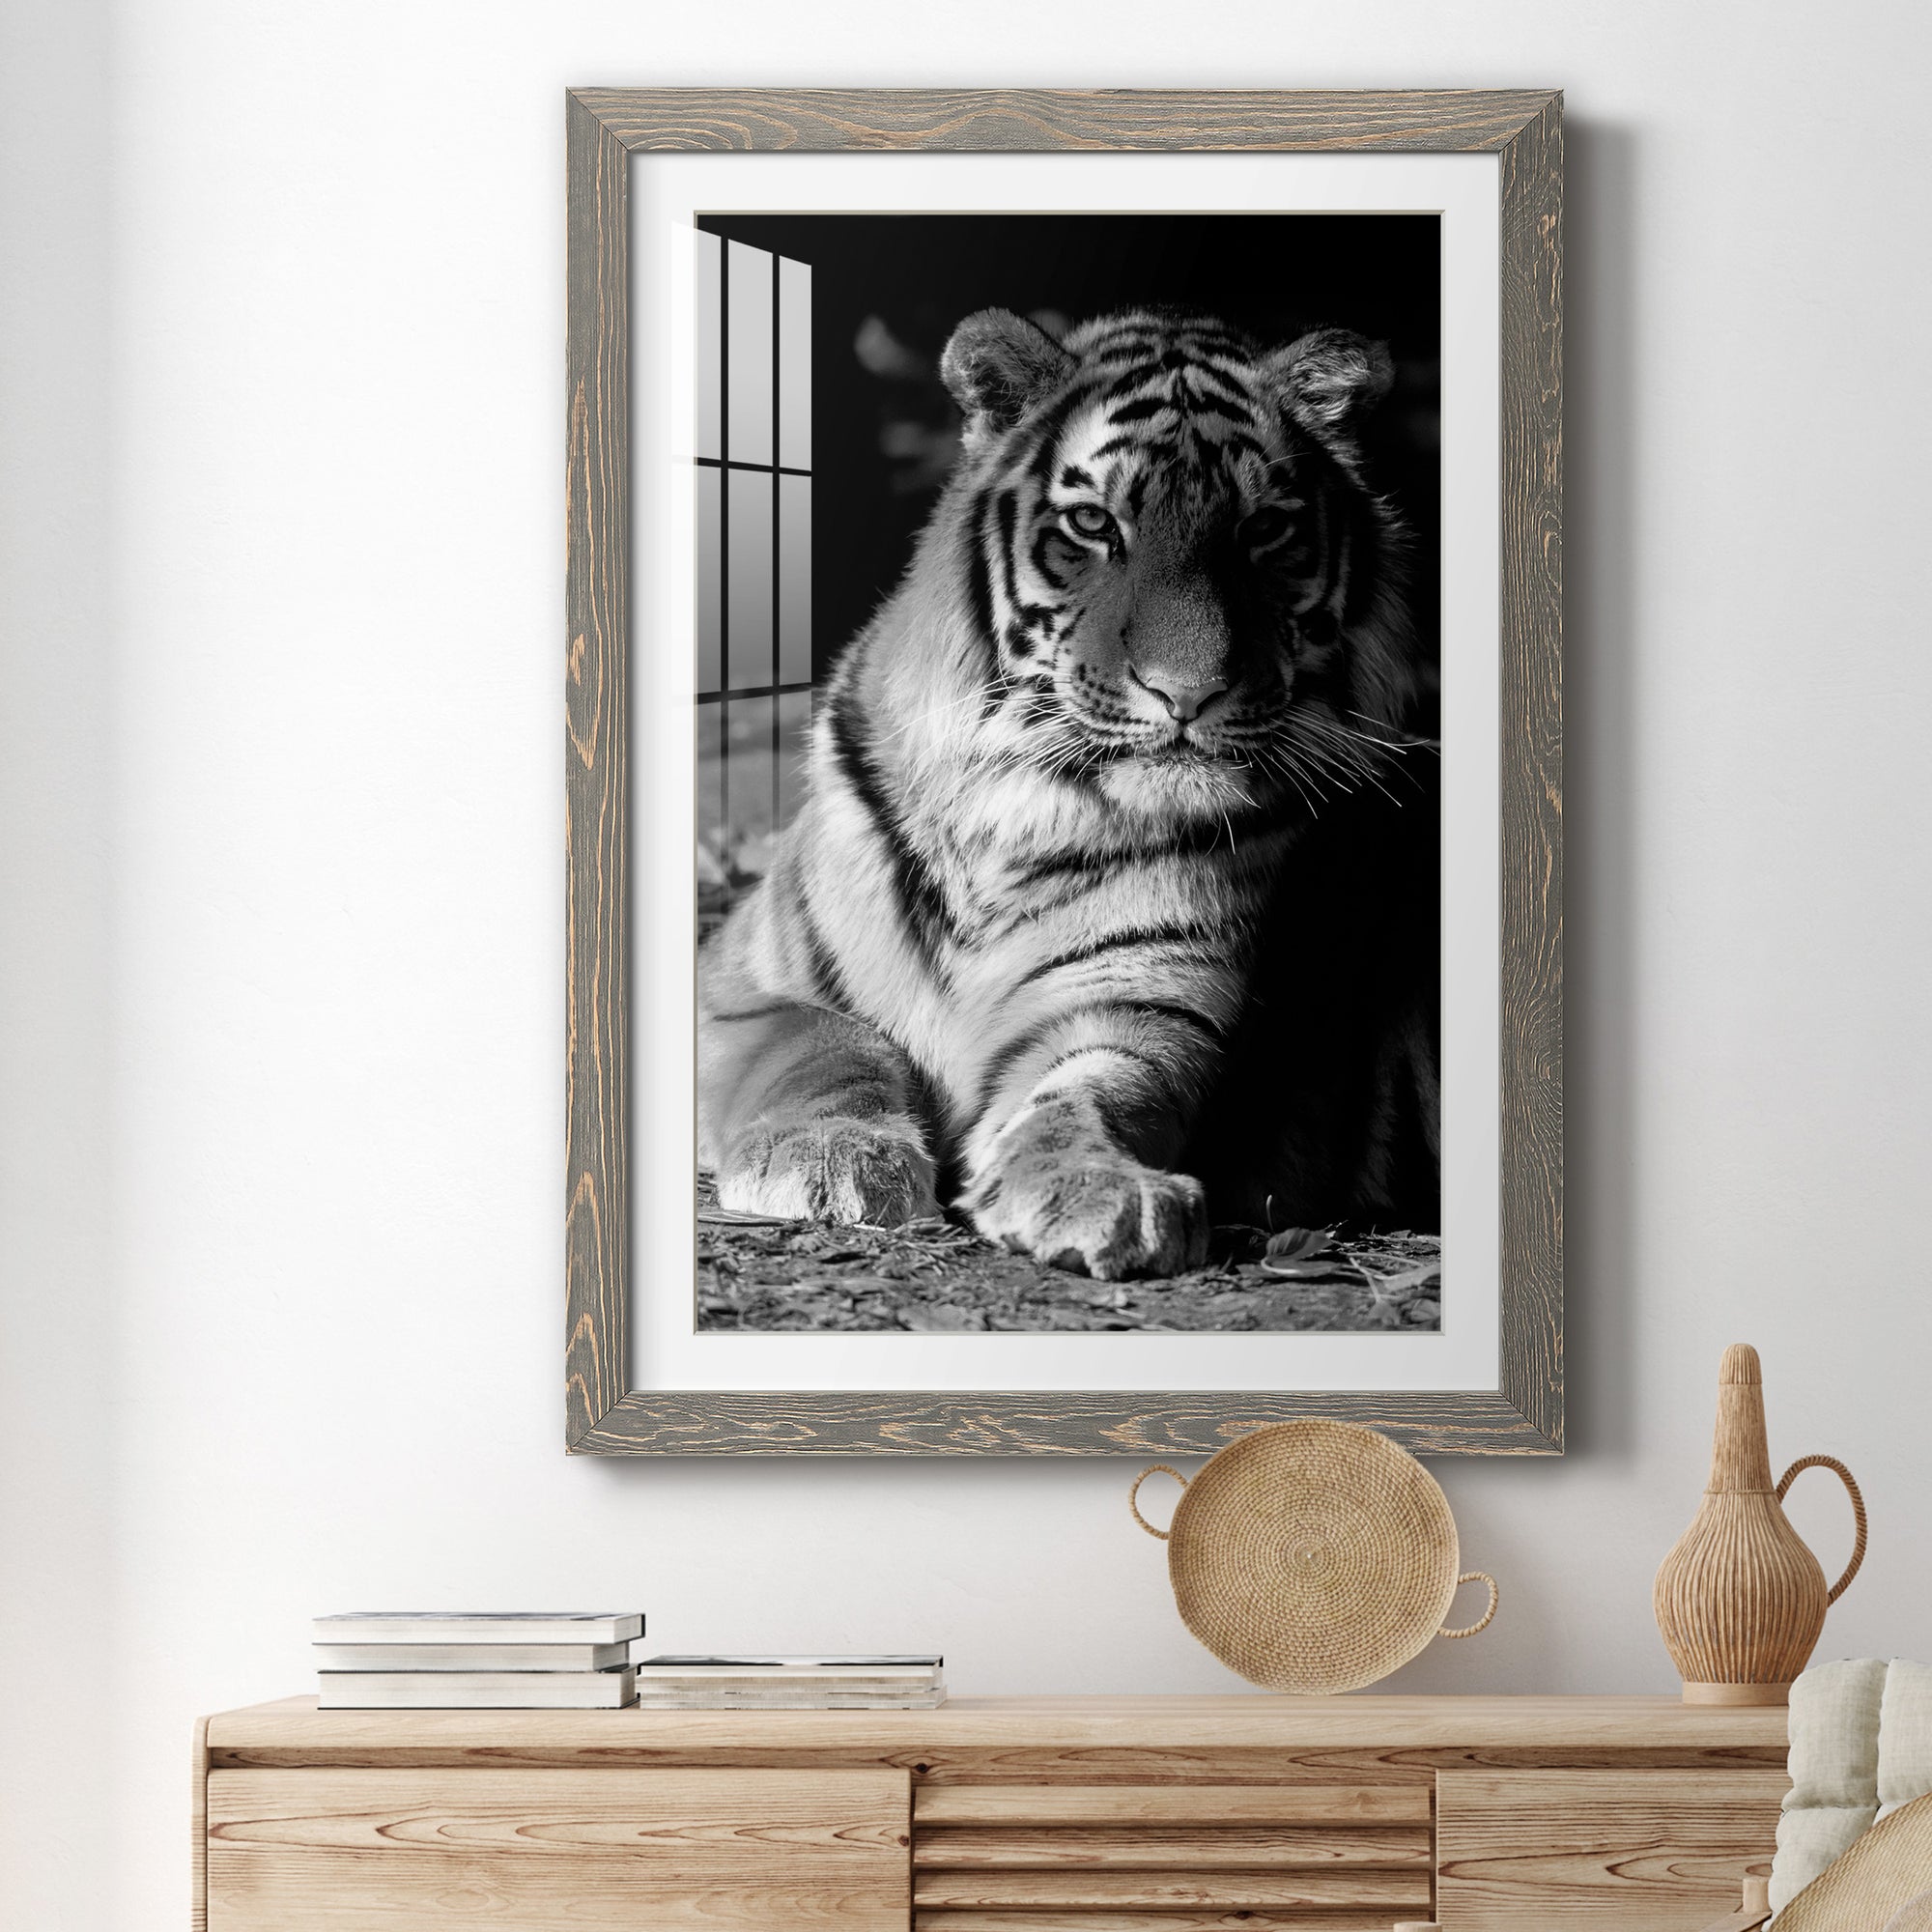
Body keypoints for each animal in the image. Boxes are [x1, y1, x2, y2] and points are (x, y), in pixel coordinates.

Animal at [696, 306, 1438, 1281]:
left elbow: (1094, 1093)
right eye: (1093, 524)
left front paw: (1099, 1189)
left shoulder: (1140, 1005)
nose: (1188, 693)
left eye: (1263, 531)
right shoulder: (739, 983)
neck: (1016, 812)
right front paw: (829, 1159)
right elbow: (827, 1044)